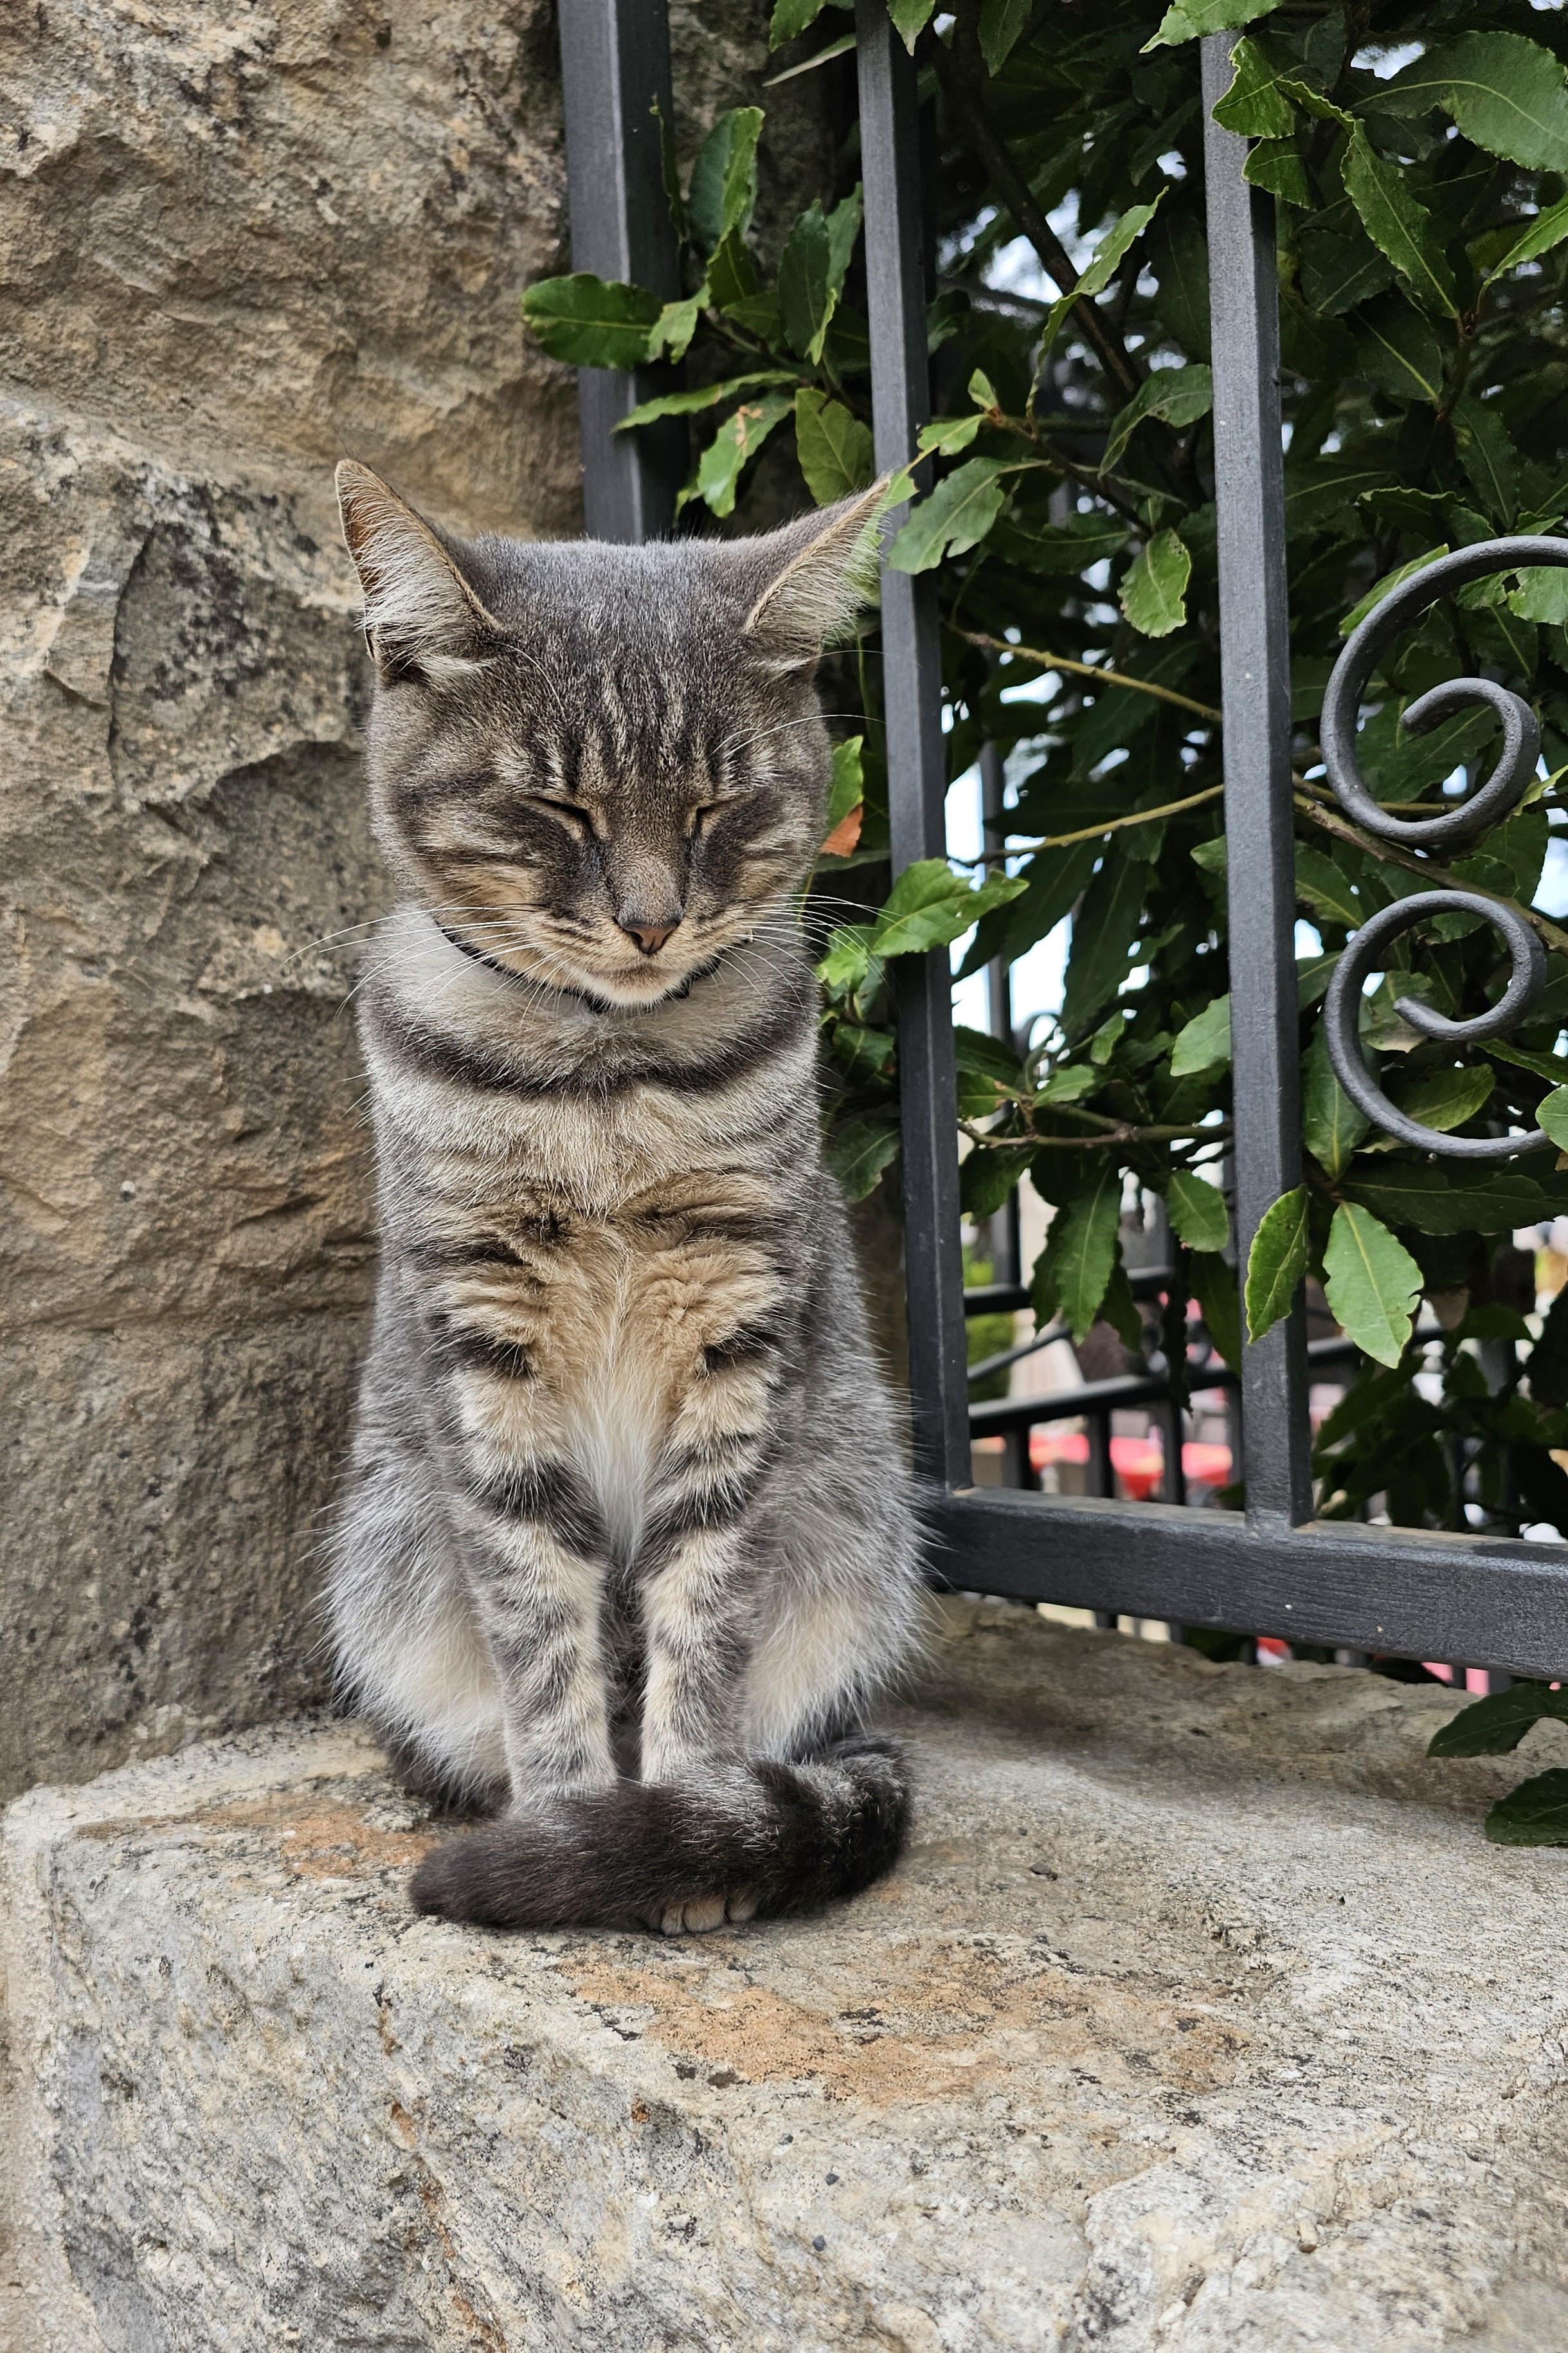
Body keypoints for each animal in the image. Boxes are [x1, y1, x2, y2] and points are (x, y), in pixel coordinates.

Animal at [327, 459, 926, 1929]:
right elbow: (539, 1620)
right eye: (559, 811)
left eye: (717, 808)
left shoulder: (737, 1317)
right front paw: (565, 1819)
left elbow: (701, 1610)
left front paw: (681, 1816)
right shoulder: (482, 1335)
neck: (603, 1072)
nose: (652, 921)